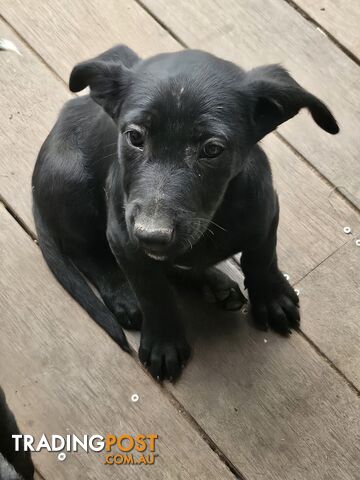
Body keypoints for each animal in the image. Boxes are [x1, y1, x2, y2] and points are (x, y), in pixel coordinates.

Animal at [32, 47, 338, 380]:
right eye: (134, 137)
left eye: (212, 149)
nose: (152, 235)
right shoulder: (123, 237)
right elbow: (153, 292)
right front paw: (163, 343)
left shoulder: (267, 213)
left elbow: (261, 257)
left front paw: (271, 298)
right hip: (72, 183)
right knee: (86, 253)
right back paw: (125, 296)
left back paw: (213, 283)